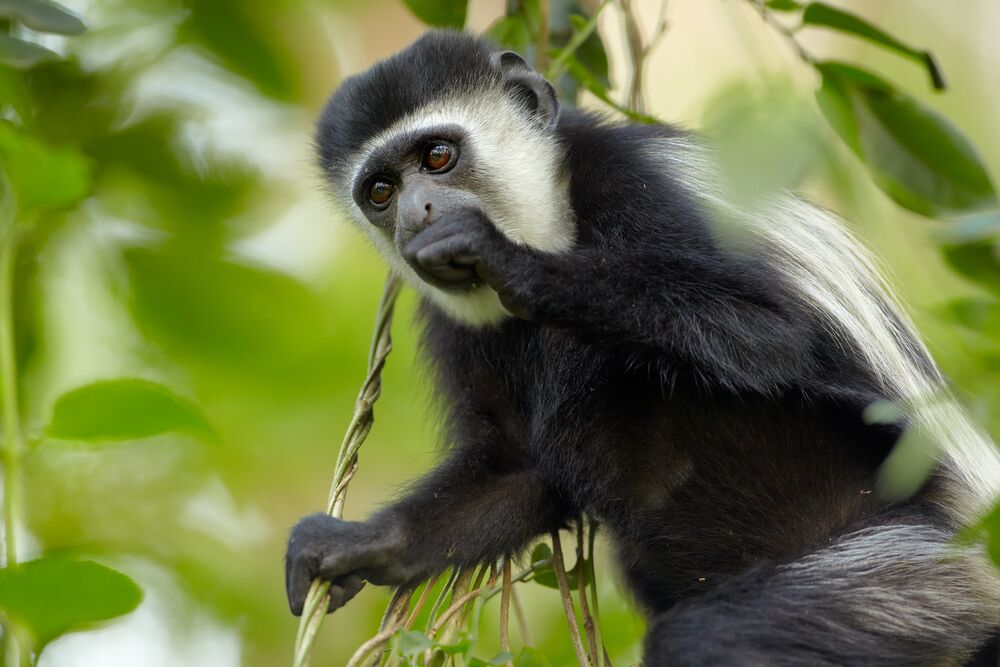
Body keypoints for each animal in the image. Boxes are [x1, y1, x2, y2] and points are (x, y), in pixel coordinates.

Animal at [288, 32, 1000, 667]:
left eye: (437, 157)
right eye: (381, 191)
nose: (418, 214)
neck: (553, 211)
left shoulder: (642, 189)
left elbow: (771, 336)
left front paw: (504, 256)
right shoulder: (453, 321)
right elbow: (515, 469)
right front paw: (354, 547)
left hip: (915, 571)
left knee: (713, 637)